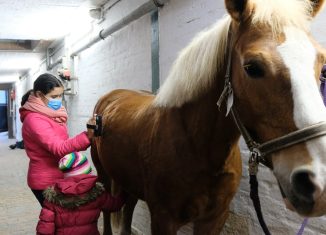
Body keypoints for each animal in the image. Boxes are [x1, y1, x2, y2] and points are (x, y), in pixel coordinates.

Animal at [90, 0, 326, 234]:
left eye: (321, 64)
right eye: (251, 67)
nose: (317, 181)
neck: (197, 146)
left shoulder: (215, 218)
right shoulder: (163, 219)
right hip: (104, 174)